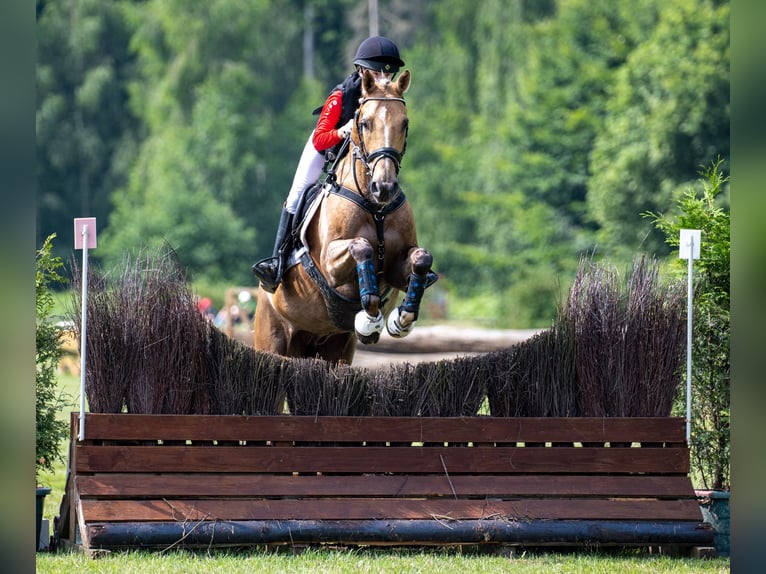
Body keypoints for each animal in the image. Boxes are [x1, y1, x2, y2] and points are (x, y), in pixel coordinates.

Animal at [254, 67, 438, 364]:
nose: (384, 188)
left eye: (405, 124)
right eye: (364, 124)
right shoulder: (330, 266)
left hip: (336, 347)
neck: (376, 209)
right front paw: (370, 318)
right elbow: (362, 247)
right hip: (271, 338)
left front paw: (401, 318)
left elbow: (421, 258)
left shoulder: (398, 267)